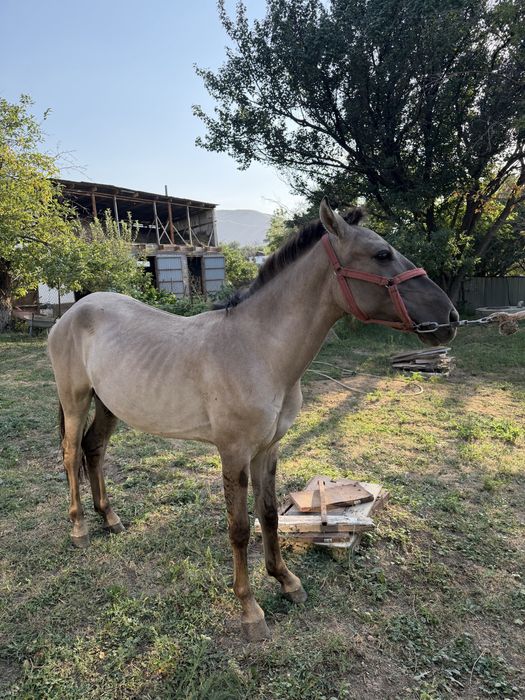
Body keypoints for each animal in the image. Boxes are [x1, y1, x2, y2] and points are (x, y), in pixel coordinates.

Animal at [48, 198, 458, 641]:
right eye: (382, 254)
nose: (449, 317)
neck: (258, 349)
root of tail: (70, 313)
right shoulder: (233, 453)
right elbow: (240, 528)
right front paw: (249, 609)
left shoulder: (268, 449)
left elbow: (270, 515)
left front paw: (287, 581)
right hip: (76, 401)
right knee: (71, 455)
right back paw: (79, 528)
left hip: (108, 406)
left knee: (94, 451)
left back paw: (109, 518)